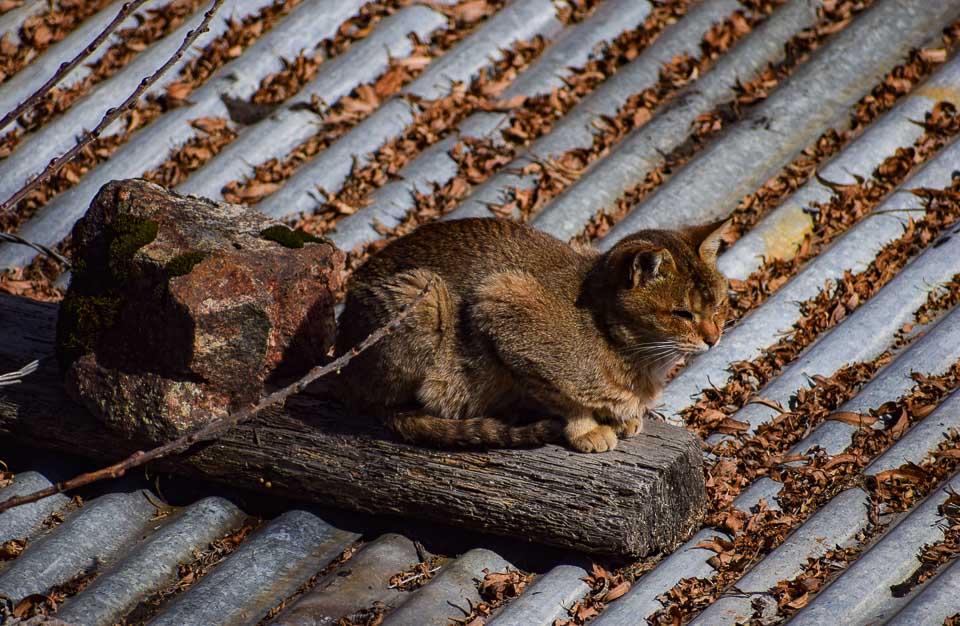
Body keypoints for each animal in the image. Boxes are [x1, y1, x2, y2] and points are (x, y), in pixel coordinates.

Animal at [336, 217, 728, 450]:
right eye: (682, 314)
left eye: (720, 304)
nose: (714, 338)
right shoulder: (500, 305)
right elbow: (565, 400)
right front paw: (587, 429)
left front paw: (623, 417)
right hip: (422, 298)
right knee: (386, 407)